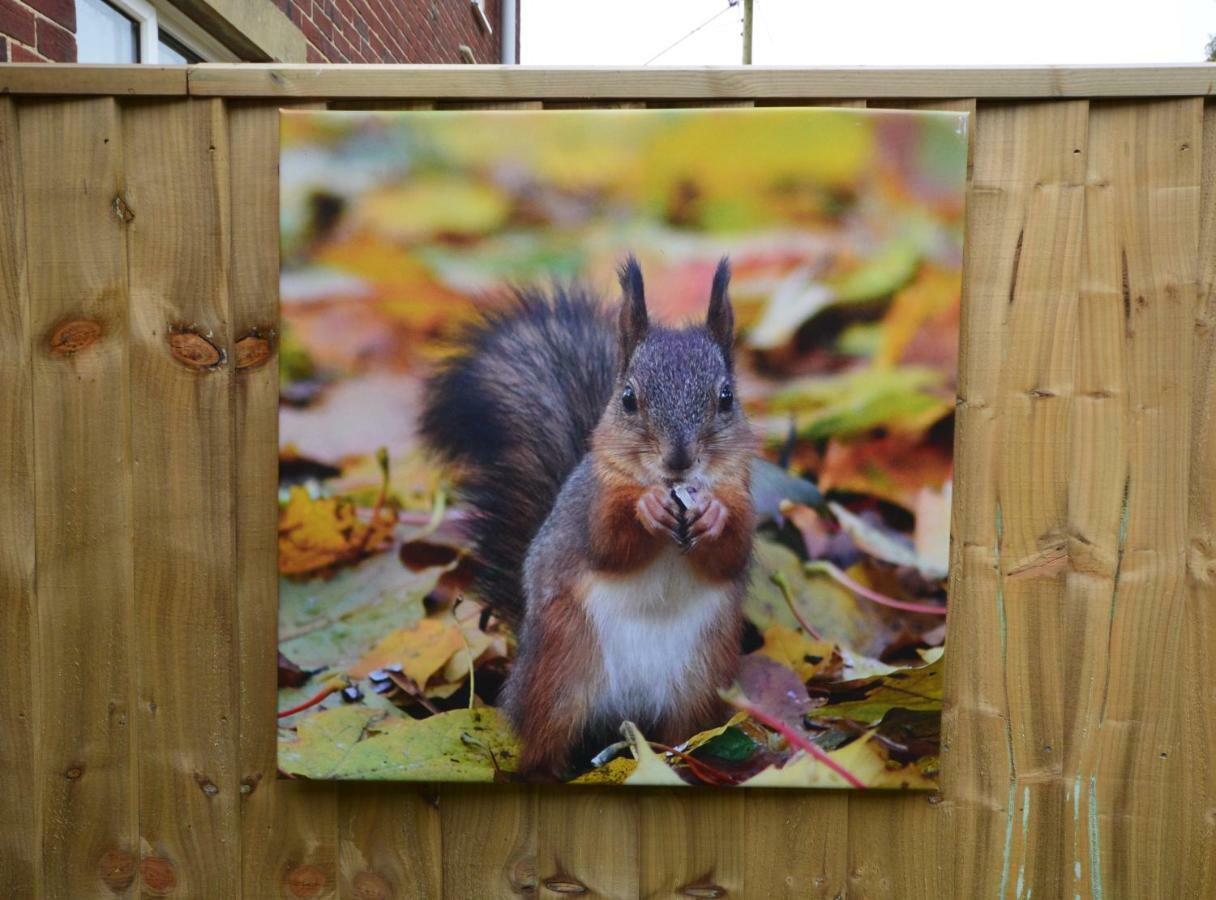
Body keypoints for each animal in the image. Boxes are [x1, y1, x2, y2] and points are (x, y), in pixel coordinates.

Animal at [423, 256, 753, 778]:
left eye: (726, 398)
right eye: (628, 398)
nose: (679, 460)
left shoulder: (745, 494)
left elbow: (732, 554)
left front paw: (713, 514)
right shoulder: (589, 505)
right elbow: (608, 542)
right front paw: (646, 508)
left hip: (699, 683)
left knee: (684, 733)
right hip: (560, 675)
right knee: (544, 741)